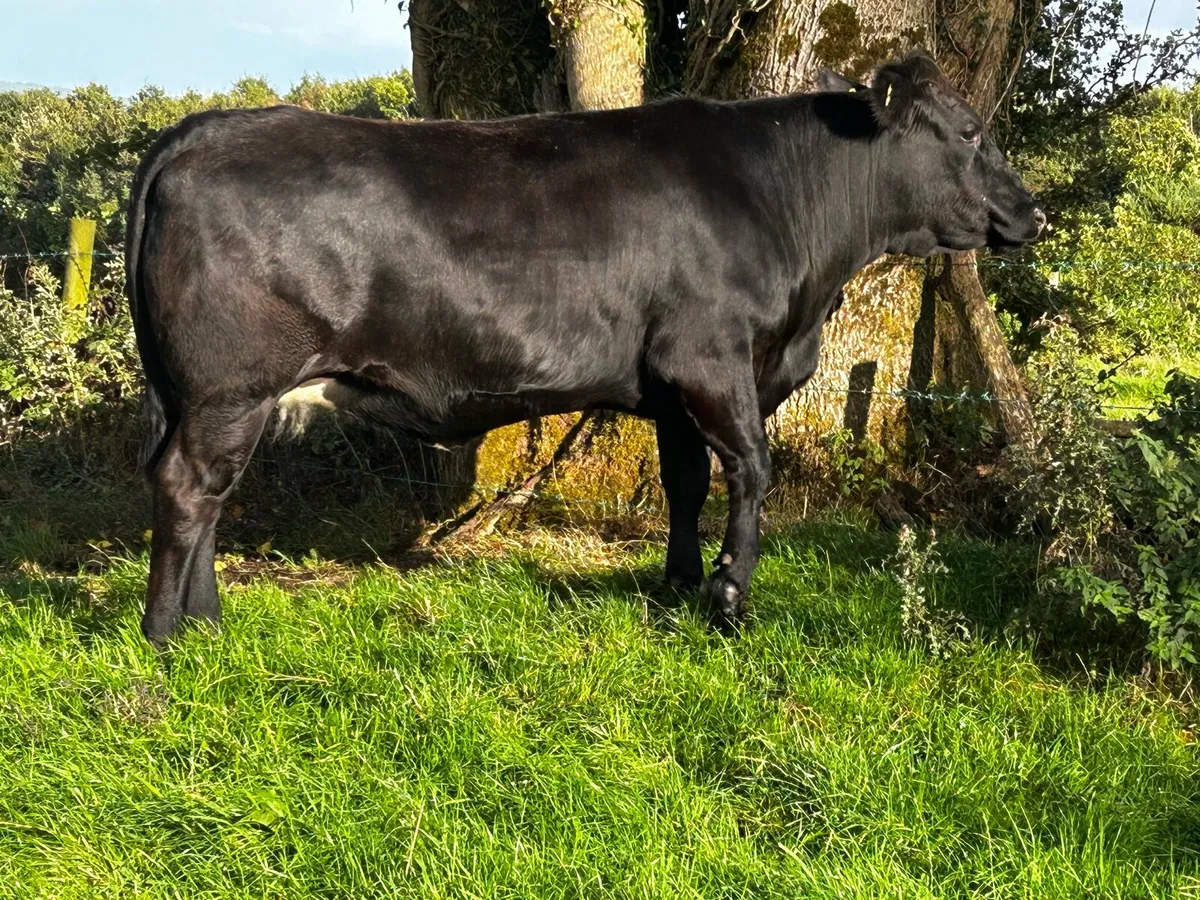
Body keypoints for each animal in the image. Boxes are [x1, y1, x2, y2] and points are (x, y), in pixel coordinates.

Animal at [126, 51, 1043, 646]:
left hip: (218, 395)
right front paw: (730, 598)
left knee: (208, 494)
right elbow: (752, 469)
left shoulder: (672, 390)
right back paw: (169, 634)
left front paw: (678, 585)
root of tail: (202, 130)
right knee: (188, 489)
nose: (1031, 211)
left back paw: (206, 624)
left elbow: (685, 483)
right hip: (229, 387)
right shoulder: (711, 360)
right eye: (969, 131)